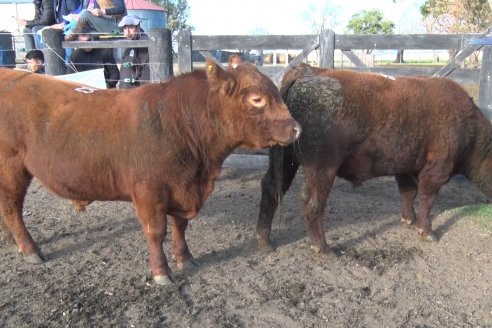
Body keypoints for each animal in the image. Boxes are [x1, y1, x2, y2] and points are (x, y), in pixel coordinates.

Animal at [0, 60, 300, 286]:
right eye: (257, 99)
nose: (296, 128)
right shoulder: (149, 191)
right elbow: (156, 232)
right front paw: (161, 272)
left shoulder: (182, 188)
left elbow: (180, 226)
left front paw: (185, 259)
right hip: (12, 168)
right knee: (12, 209)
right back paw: (29, 249)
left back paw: (10, 241)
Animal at [258, 62, 492, 255]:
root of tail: (310, 70)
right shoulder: (436, 171)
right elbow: (427, 200)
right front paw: (427, 232)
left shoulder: (404, 167)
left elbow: (408, 193)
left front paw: (408, 220)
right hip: (322, 167)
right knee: (312, 202)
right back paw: (323, 248)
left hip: (286, 160)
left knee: (271, 187)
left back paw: (264, 240)